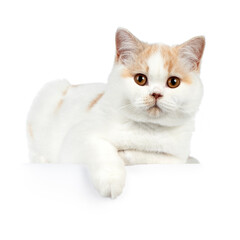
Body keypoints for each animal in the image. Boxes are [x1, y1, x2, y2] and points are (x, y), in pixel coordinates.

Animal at [27, 27, 205, 198]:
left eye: (173, 82)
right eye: (140, 79)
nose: (155, 94)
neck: (147, 128)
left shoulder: (178, 156)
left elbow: (157, 157)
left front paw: (126, 154)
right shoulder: (75, 141)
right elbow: (102, 148)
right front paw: (110, 180)